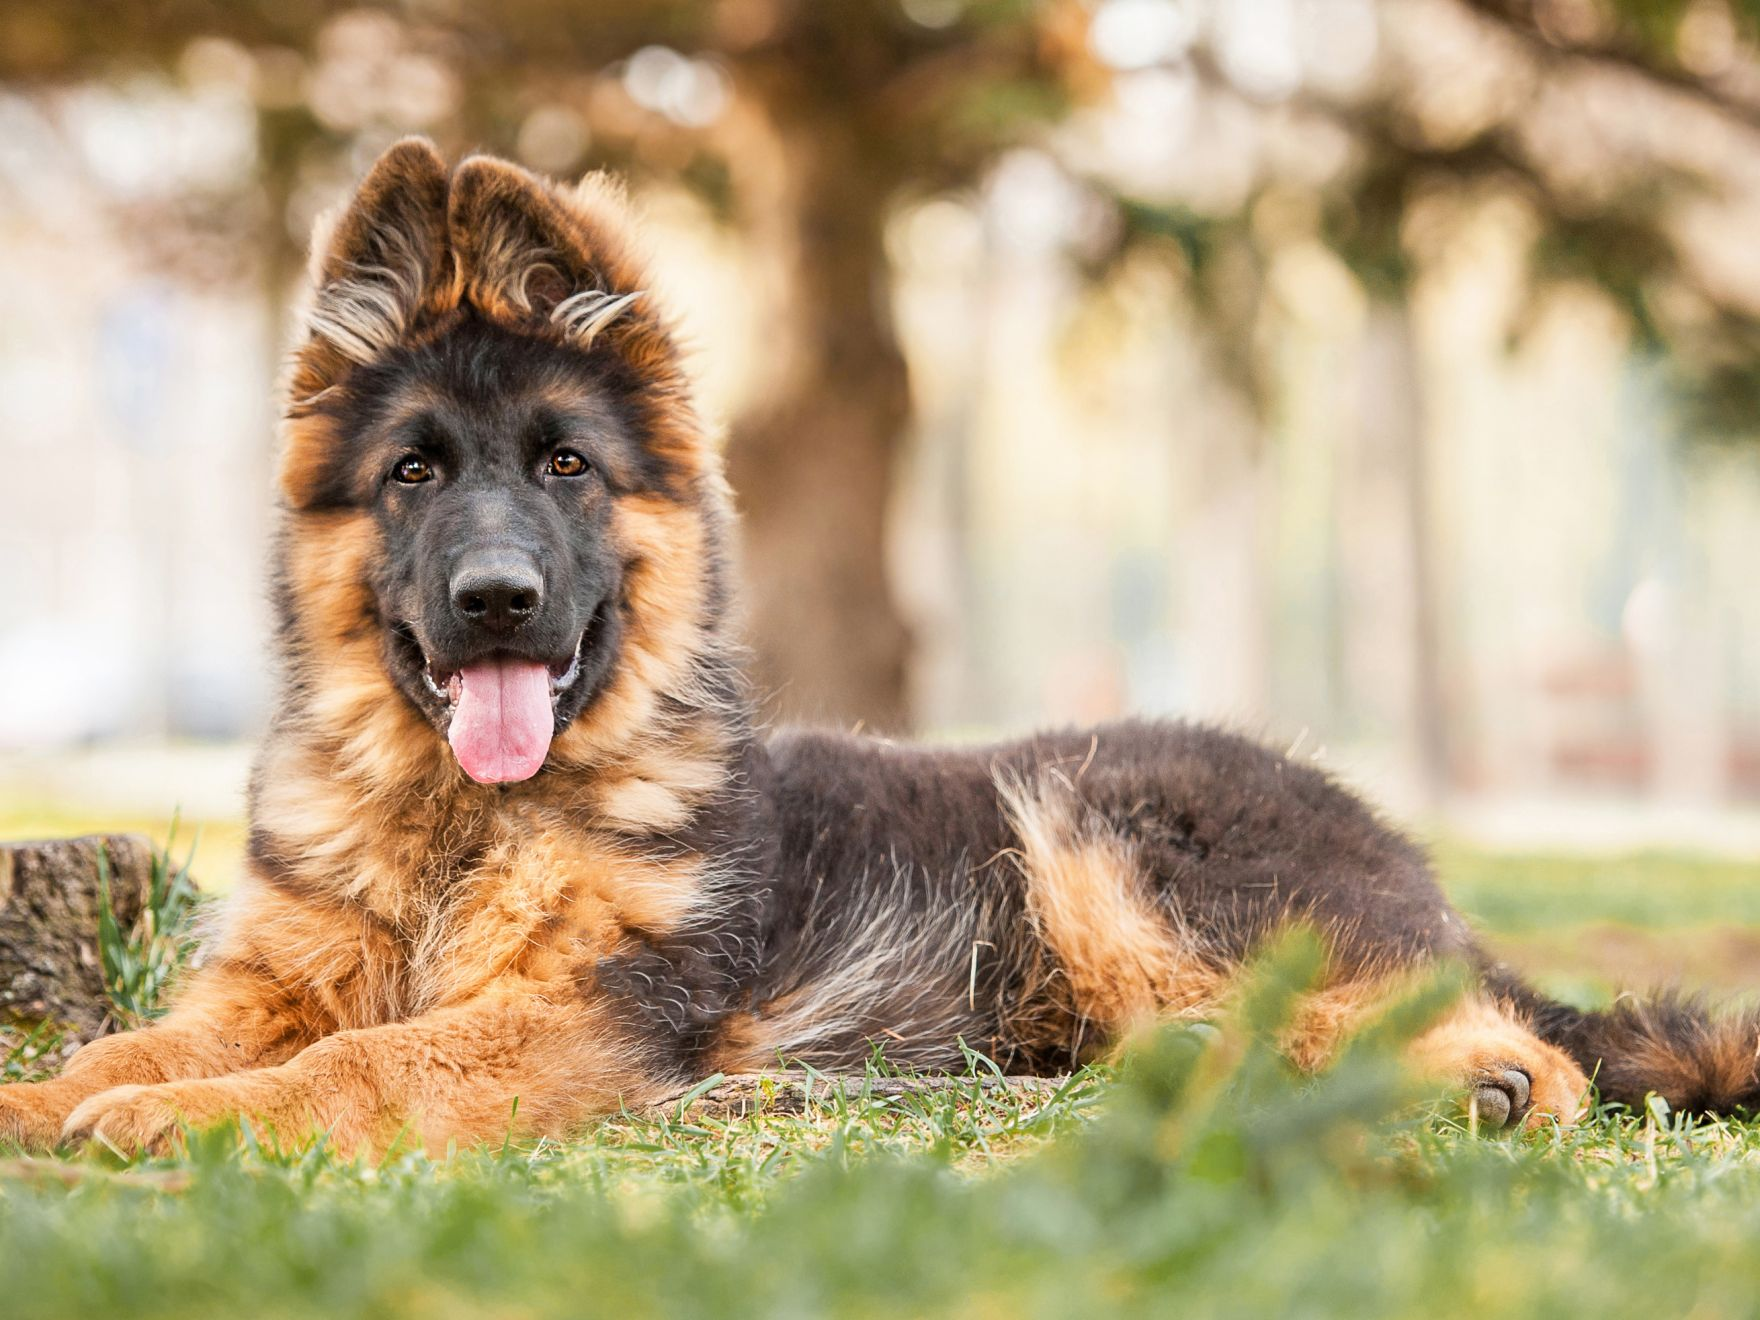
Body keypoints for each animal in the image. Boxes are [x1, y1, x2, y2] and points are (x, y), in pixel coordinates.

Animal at [3, 142, 1760, 1154]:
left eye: (565, 466)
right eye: (415, 476)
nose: (497, 598)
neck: (457, 819)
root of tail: (1408, 857)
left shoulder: (589, 1010)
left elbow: (358, 1066)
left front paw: (174, 1122)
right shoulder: (271, 984)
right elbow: (134, 1036)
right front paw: (53, 1099)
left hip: (1104, 832)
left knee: (1517, 1043)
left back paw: (1475, 1086)